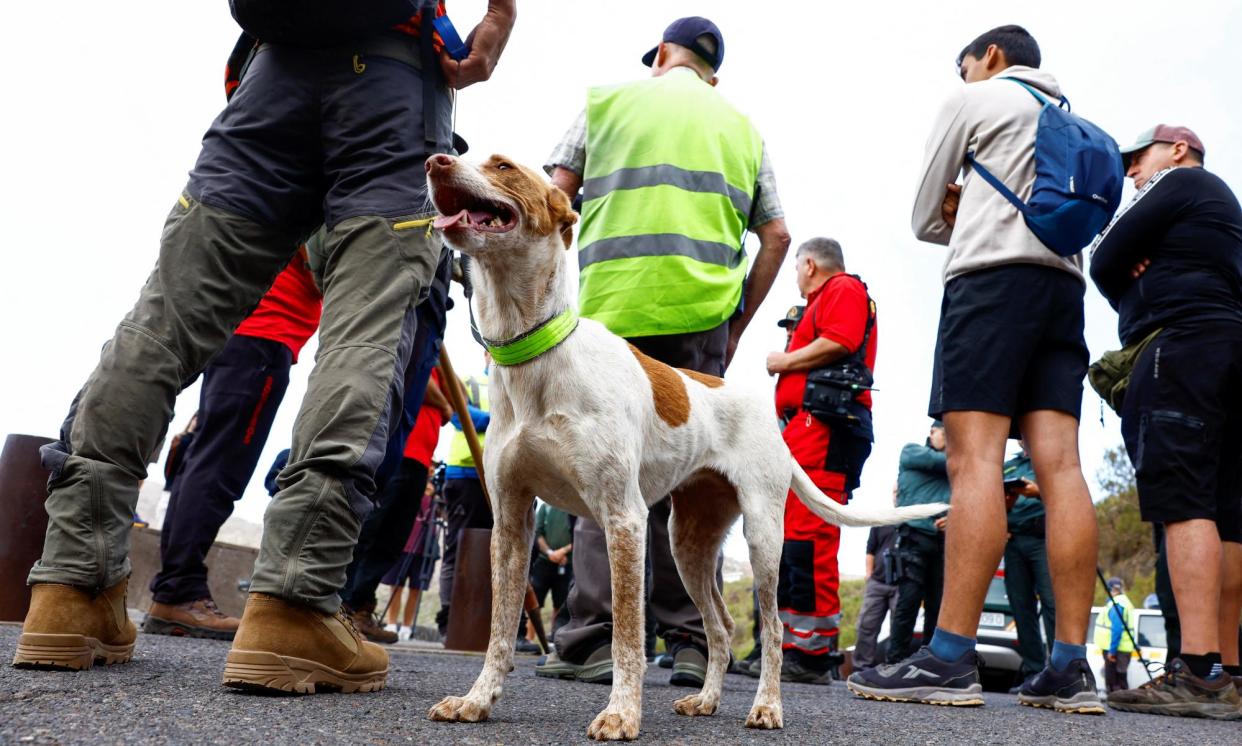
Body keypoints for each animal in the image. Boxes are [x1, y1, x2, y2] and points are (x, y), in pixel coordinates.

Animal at [422, 152, 943, 739]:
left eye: (503, 166)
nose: (437, 160)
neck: (537, 352)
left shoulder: (623, 519)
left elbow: (628, 636)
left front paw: (622, 712)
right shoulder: (511, 522)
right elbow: (500, 630)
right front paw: (477, 699)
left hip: (763, 537)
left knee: (773, 629)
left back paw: (768, 706)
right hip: (688, 542)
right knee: (721, 626)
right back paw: (708, 698)